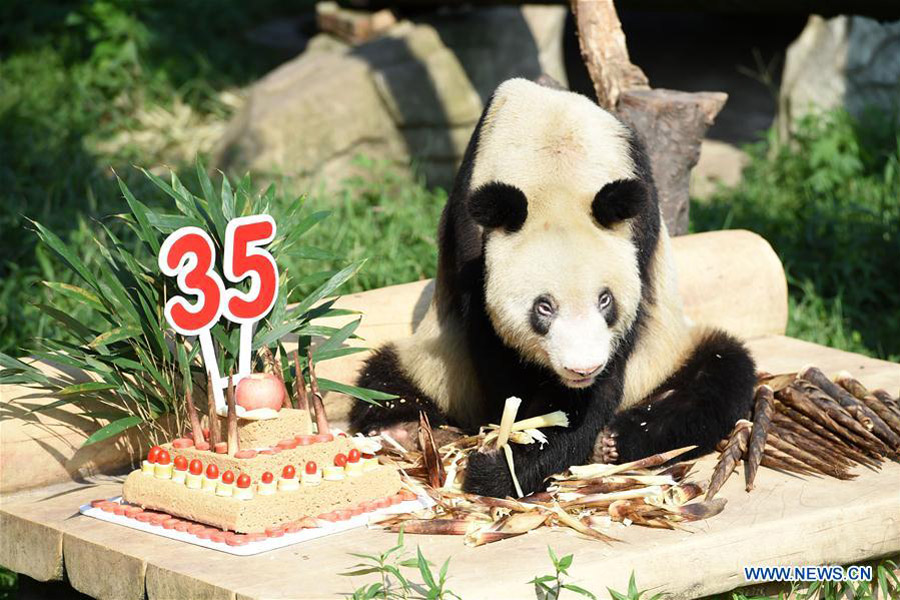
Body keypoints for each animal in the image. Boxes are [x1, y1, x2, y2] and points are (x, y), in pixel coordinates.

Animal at [350, 78, 757, 498]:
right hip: (434, 365)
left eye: (605, 300)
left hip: (667, 352)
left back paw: (615, 441)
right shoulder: (472, 234)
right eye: (543, 307)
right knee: (383, 385)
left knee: (720, 376)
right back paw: (408, 430)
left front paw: (506, 465)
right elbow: (497, 356)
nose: (582, 368)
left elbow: (596, 387)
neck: (556, 165)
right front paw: (509, 453)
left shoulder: (637, 228)